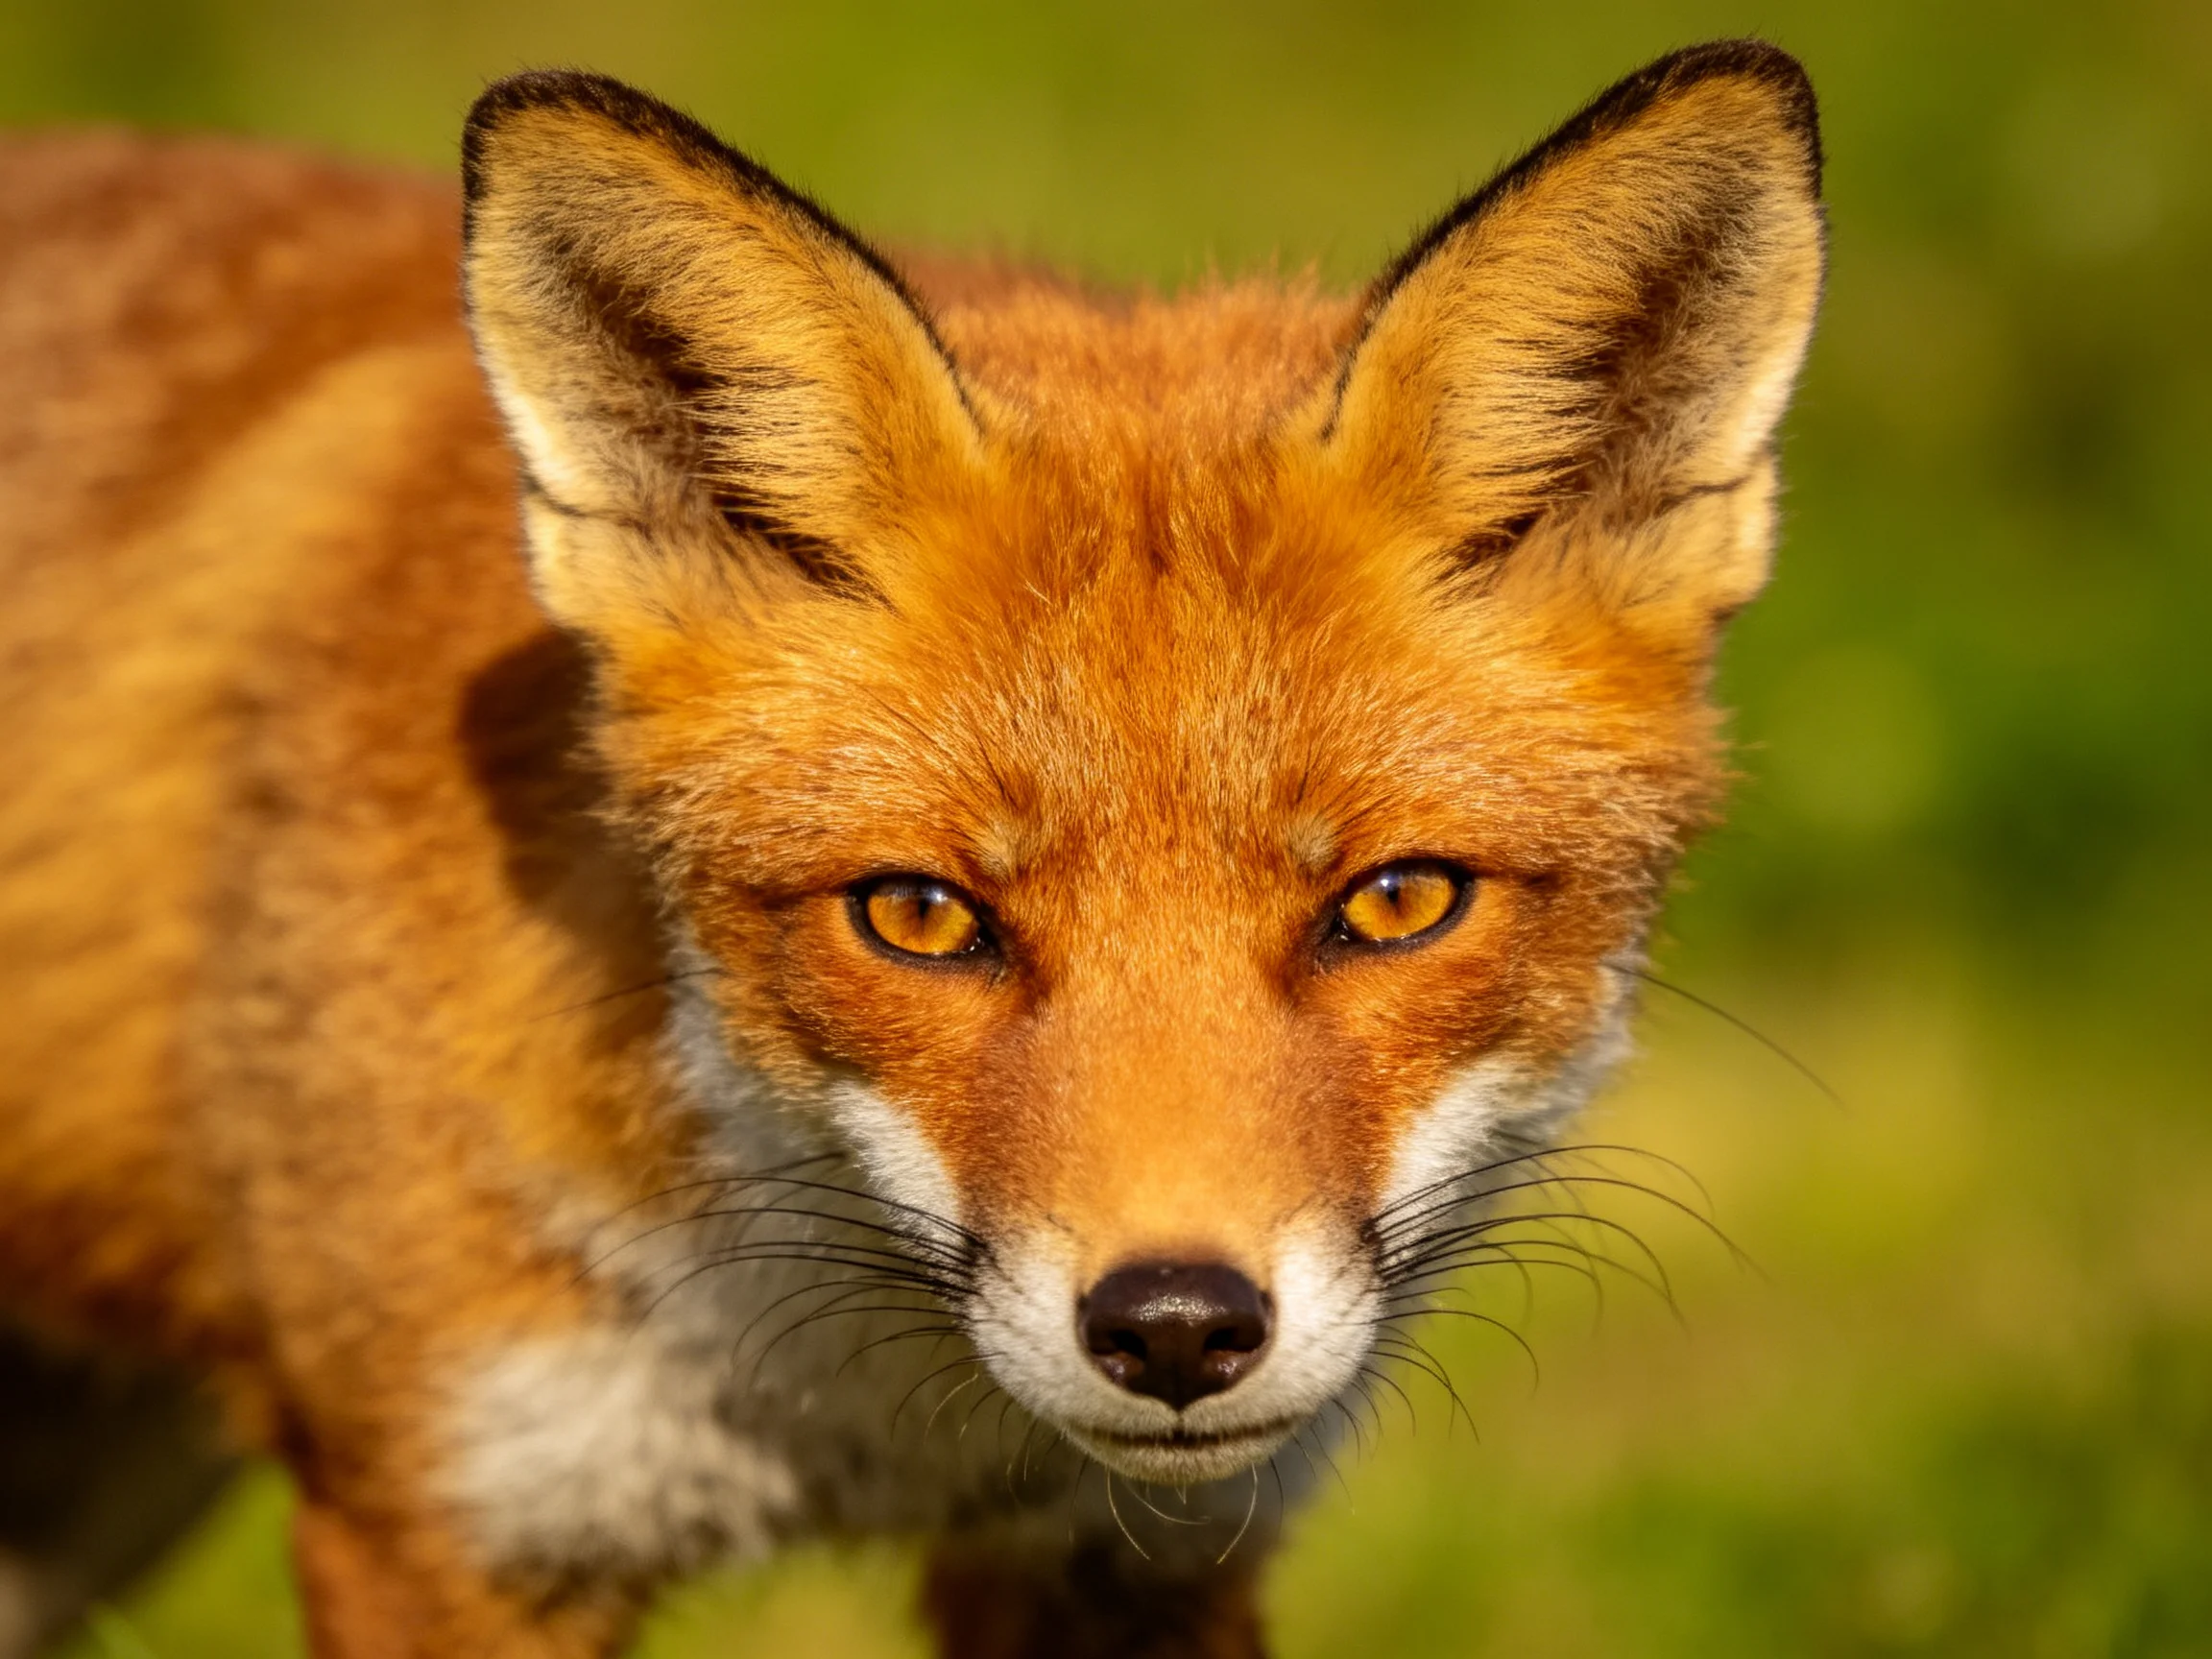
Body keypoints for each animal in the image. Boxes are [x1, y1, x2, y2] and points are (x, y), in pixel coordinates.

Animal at [0, 38, 1825, 1659]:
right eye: (922, 916)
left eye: (1392, 901)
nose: (1175, 1330)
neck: (858, 1414)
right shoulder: (450, 1526)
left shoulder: (1124, 1556)